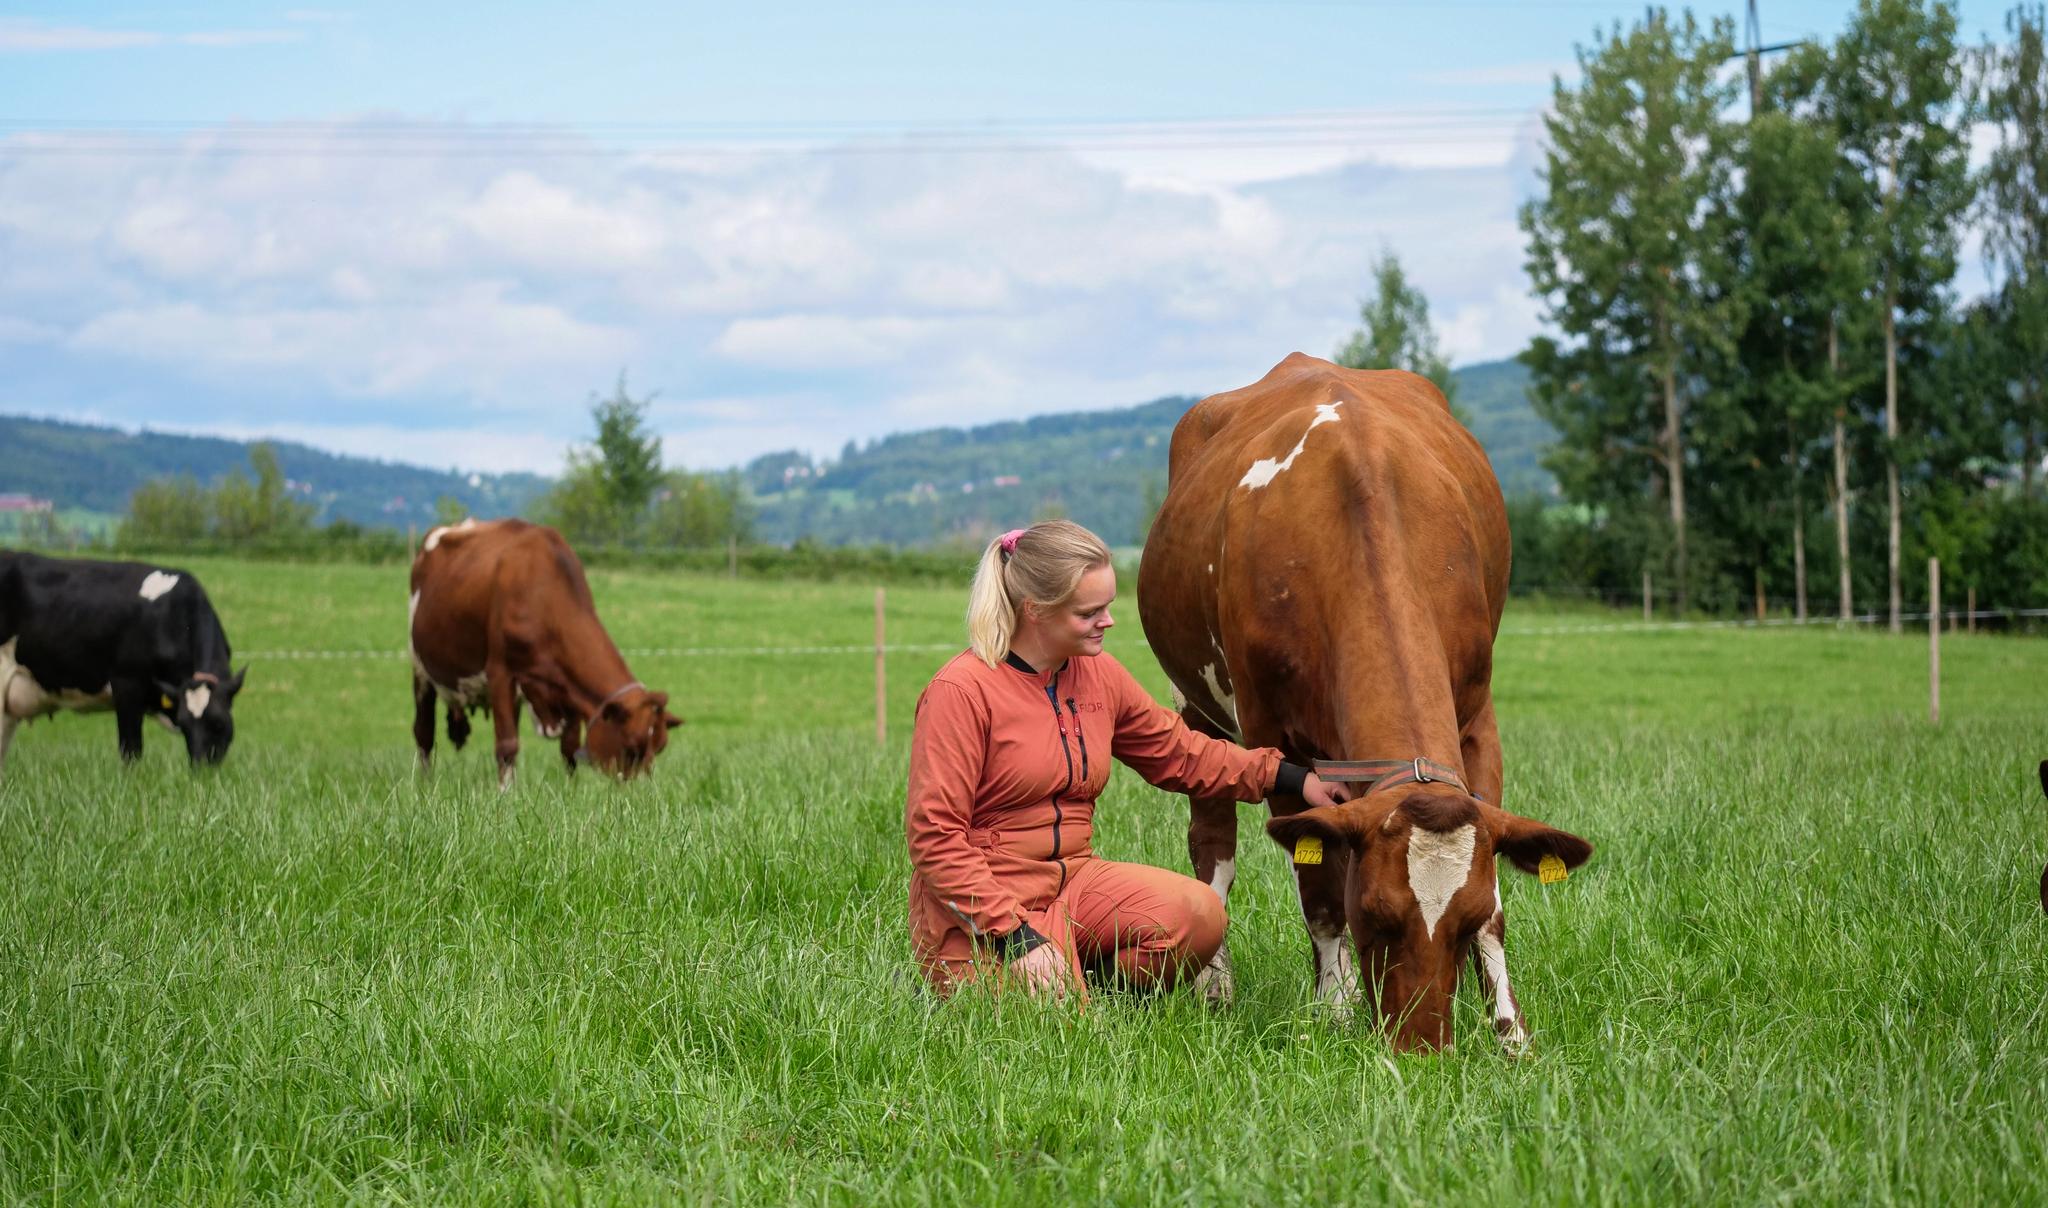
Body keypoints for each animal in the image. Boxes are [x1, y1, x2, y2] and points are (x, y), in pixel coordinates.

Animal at [408, 517, 680, 787]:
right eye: (632, 747)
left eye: (660, 748)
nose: (644, 791)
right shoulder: (500, 674)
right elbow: (507, 745)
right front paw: (506, 792)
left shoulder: (566, 686)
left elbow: (569, 747)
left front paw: (570, 789)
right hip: (420, 669)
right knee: (424, 733)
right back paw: (425, 782)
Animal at [1137, 353, 1592, 1053]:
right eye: (1375, 915)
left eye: (1463, 924)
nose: (1423, 1049)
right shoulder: (1277, 742)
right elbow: (1319, 887)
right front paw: (1336, 1010)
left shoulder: (1476, 717)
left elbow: (1498, 901)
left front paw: (1510, 1030)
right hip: (1196, 703)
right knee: (1212, 842)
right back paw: (1217, 987)